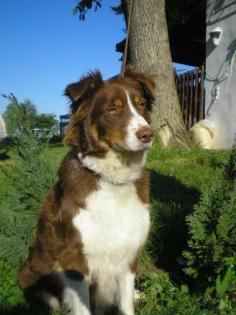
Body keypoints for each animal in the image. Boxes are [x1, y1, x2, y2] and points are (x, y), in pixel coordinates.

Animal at [18, 66, 155, 315]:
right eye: (113, 109)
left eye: (141, 105)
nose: (147, 134)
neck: (112, 181)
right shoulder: (75, 260)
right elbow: (82, 307)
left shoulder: (129, 254)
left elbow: (126, 302)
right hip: (31, 270)